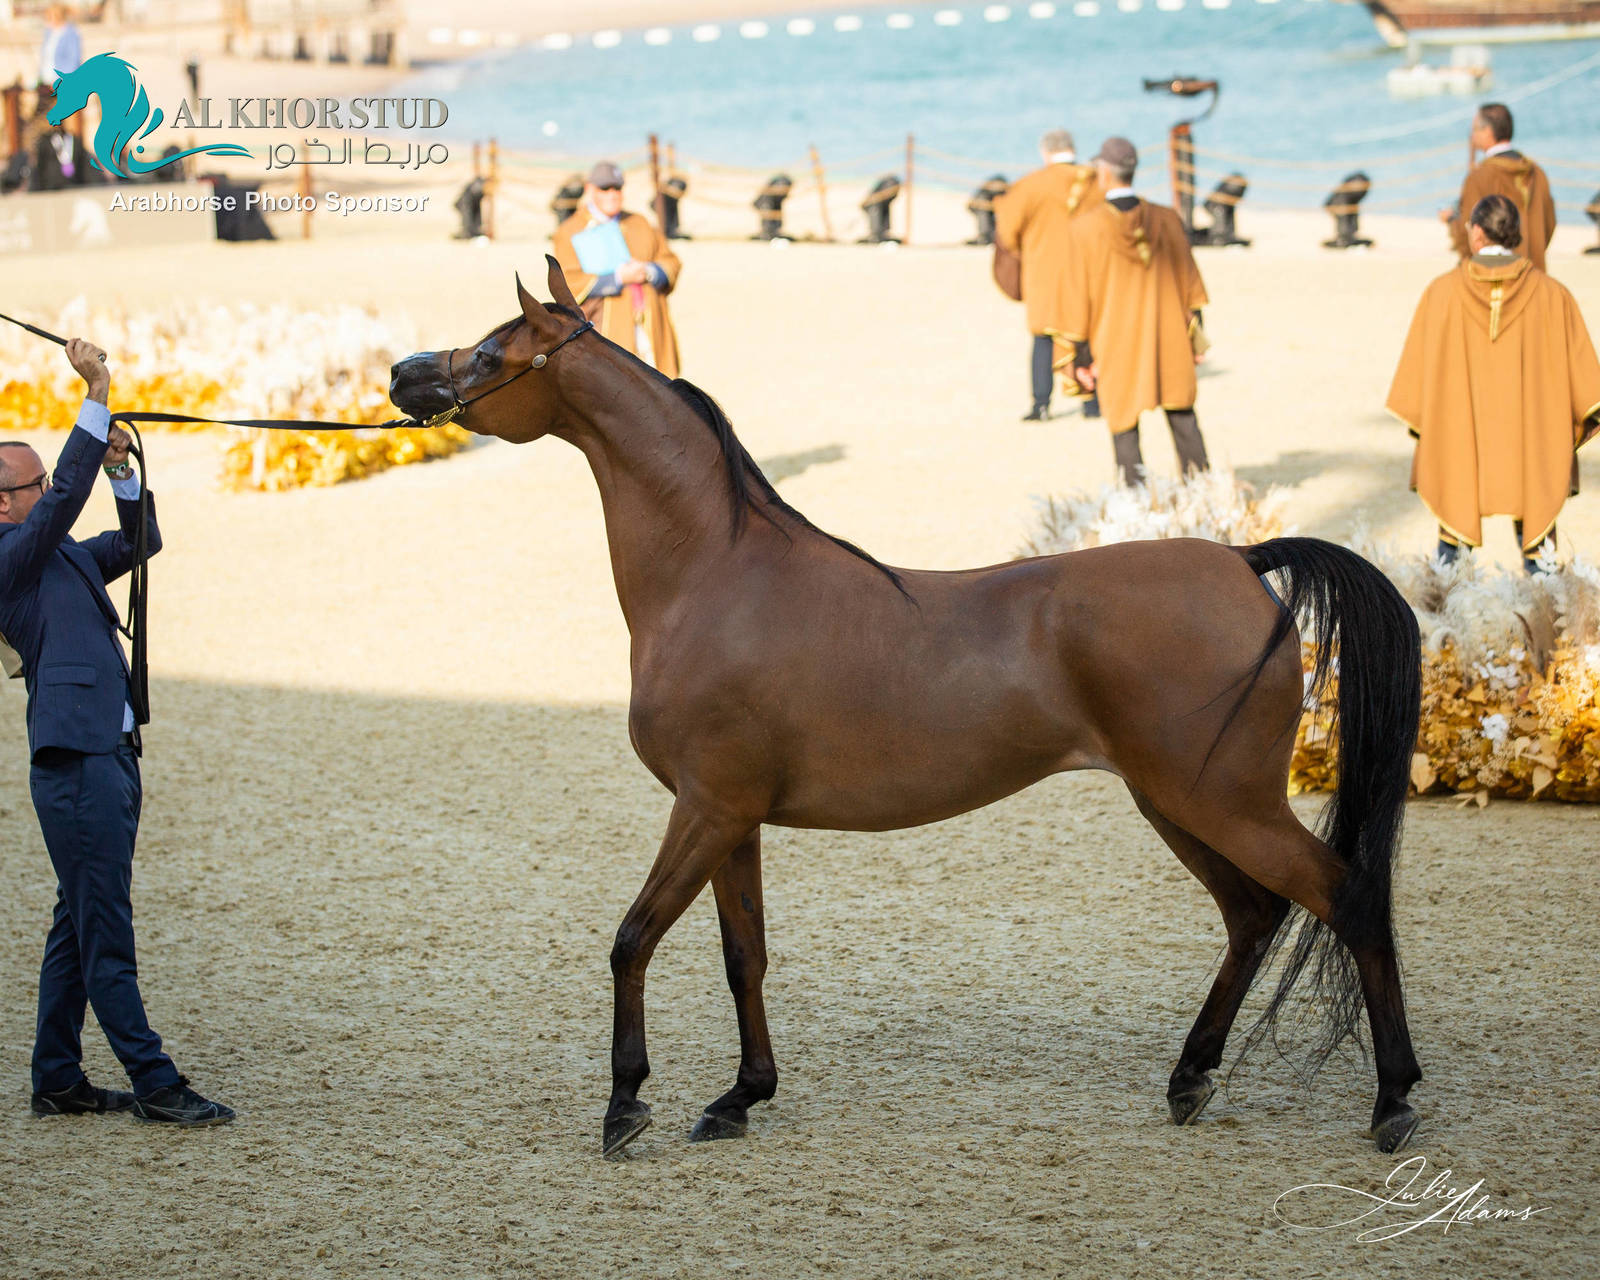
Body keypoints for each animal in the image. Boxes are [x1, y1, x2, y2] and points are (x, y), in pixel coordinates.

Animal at [389, 259, 1425, 1159]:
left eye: (491, 352)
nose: (404, 374)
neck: (716, 573)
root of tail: (1241, 561)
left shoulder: (706, 808)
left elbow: (632, 939)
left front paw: (625, 1103)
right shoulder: (734, 818)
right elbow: (742, 956)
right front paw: (740, 1097)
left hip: (1222, 802)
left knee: (1343, 897)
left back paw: (1393, 1101)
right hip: (1174, 802)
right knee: (1253, 915)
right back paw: (1191, 1078)